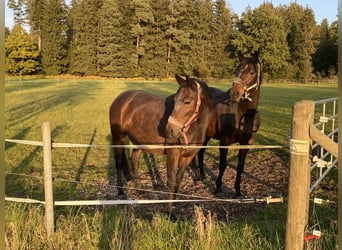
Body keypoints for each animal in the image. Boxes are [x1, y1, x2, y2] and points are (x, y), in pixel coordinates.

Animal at [109, 74, 214, 213]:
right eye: (175, 100)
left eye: (187, 101)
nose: (169, 130)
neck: (194, 128)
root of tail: (120, 98)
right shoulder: (172, 153)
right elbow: (171, 181)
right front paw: (169, 211)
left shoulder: (188, 157)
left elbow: (178, 180)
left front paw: (174, 203)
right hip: (118, 138)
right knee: (119, 163)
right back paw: (120, 191)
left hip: (139, 141)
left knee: (134, 160)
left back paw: (140, 191)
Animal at [195, 51, 262, 197]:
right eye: (236, 71)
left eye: (252, 72)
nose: (235, 93)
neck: (242, 114)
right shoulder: (225, 141)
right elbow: (223, 164)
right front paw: (218, 187)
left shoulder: (246, 143)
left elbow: (240, 166)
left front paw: (237, 190)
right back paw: (197, 175)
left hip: (206, 135)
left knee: (201, 151)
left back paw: (202, 174)